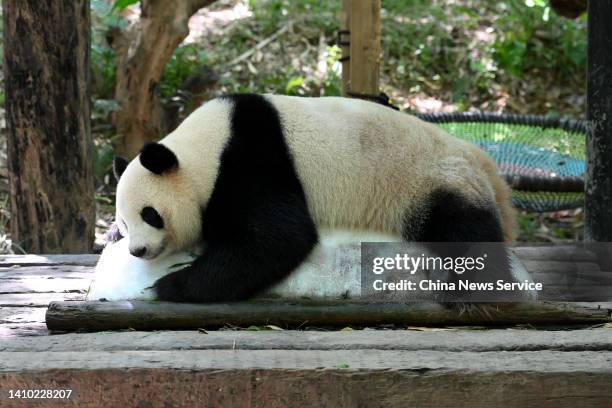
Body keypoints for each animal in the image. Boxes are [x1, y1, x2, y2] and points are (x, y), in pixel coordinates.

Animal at [112, 93, 520, 302]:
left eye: (150, 214)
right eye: (124, 222)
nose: (138, 251)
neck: (202, 150)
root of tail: (480, 160)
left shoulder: (250, 159)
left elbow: (279, 237)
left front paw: (169, 285)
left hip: (431, 180)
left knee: (465, 229)